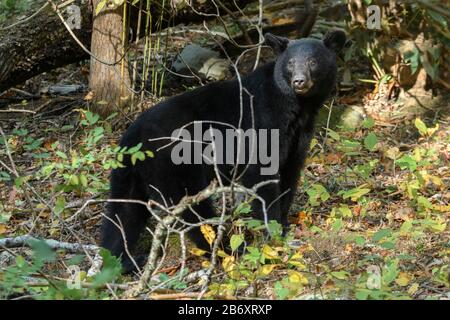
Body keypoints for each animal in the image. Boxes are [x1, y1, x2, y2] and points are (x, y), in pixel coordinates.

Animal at [103, 30, 348, 272]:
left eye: (313, 61)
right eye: (290, 63)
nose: (299, 81)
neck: (296, 107)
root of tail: (133, 137)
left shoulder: (299, 134)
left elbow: (290, 172)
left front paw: (285, 224)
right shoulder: (262, 121)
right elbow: (262, 175)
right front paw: (273, 230)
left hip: (130, 173)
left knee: (123, 214)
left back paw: (120, 261)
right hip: (174, 164)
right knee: (193, 211)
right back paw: (226, 248)